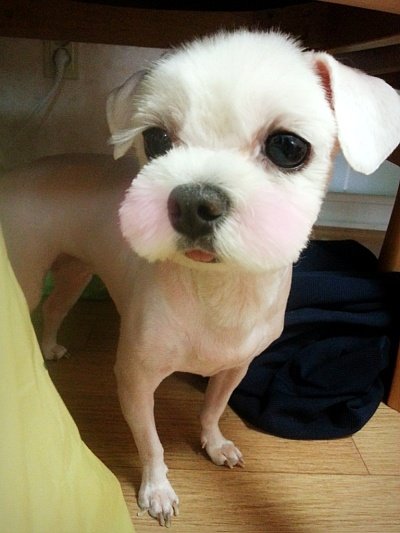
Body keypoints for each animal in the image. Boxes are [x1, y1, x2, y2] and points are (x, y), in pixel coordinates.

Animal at [1, 30, 400, 527]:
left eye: (289, 148)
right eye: (155, 139)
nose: (194, 202)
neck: (219, 289)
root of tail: (14, 174)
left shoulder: (235, 368)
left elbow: (212, 409)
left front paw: (215, 445)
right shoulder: (135, 381)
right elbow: (151, 443)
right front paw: (157, 491)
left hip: (76, 270)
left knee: (56, 308)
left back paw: (51, 347)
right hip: (28, 274)